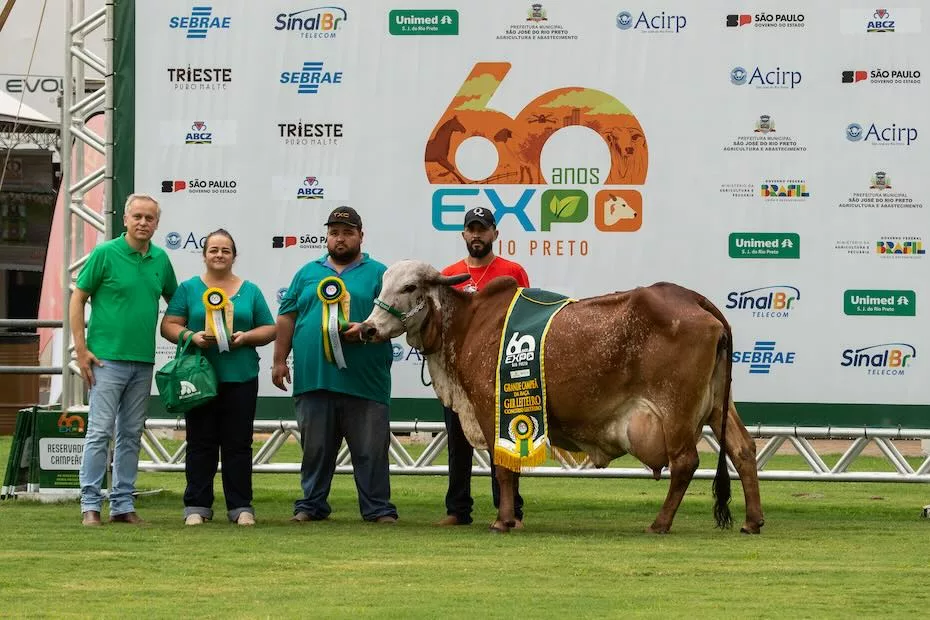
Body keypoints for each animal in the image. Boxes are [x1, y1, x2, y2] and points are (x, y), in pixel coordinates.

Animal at [358, 260, 764, 536]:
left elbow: (503, 469)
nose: (368, 329)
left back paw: (660, 523)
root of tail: (692, 298)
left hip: (676, 409)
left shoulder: (492, 409)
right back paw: (752, 520)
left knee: (685, 462)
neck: (468, 324)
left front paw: (503, 521)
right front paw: (510, 518)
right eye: (383, 284)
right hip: (718, 405)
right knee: (743, 450)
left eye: (409, 286)